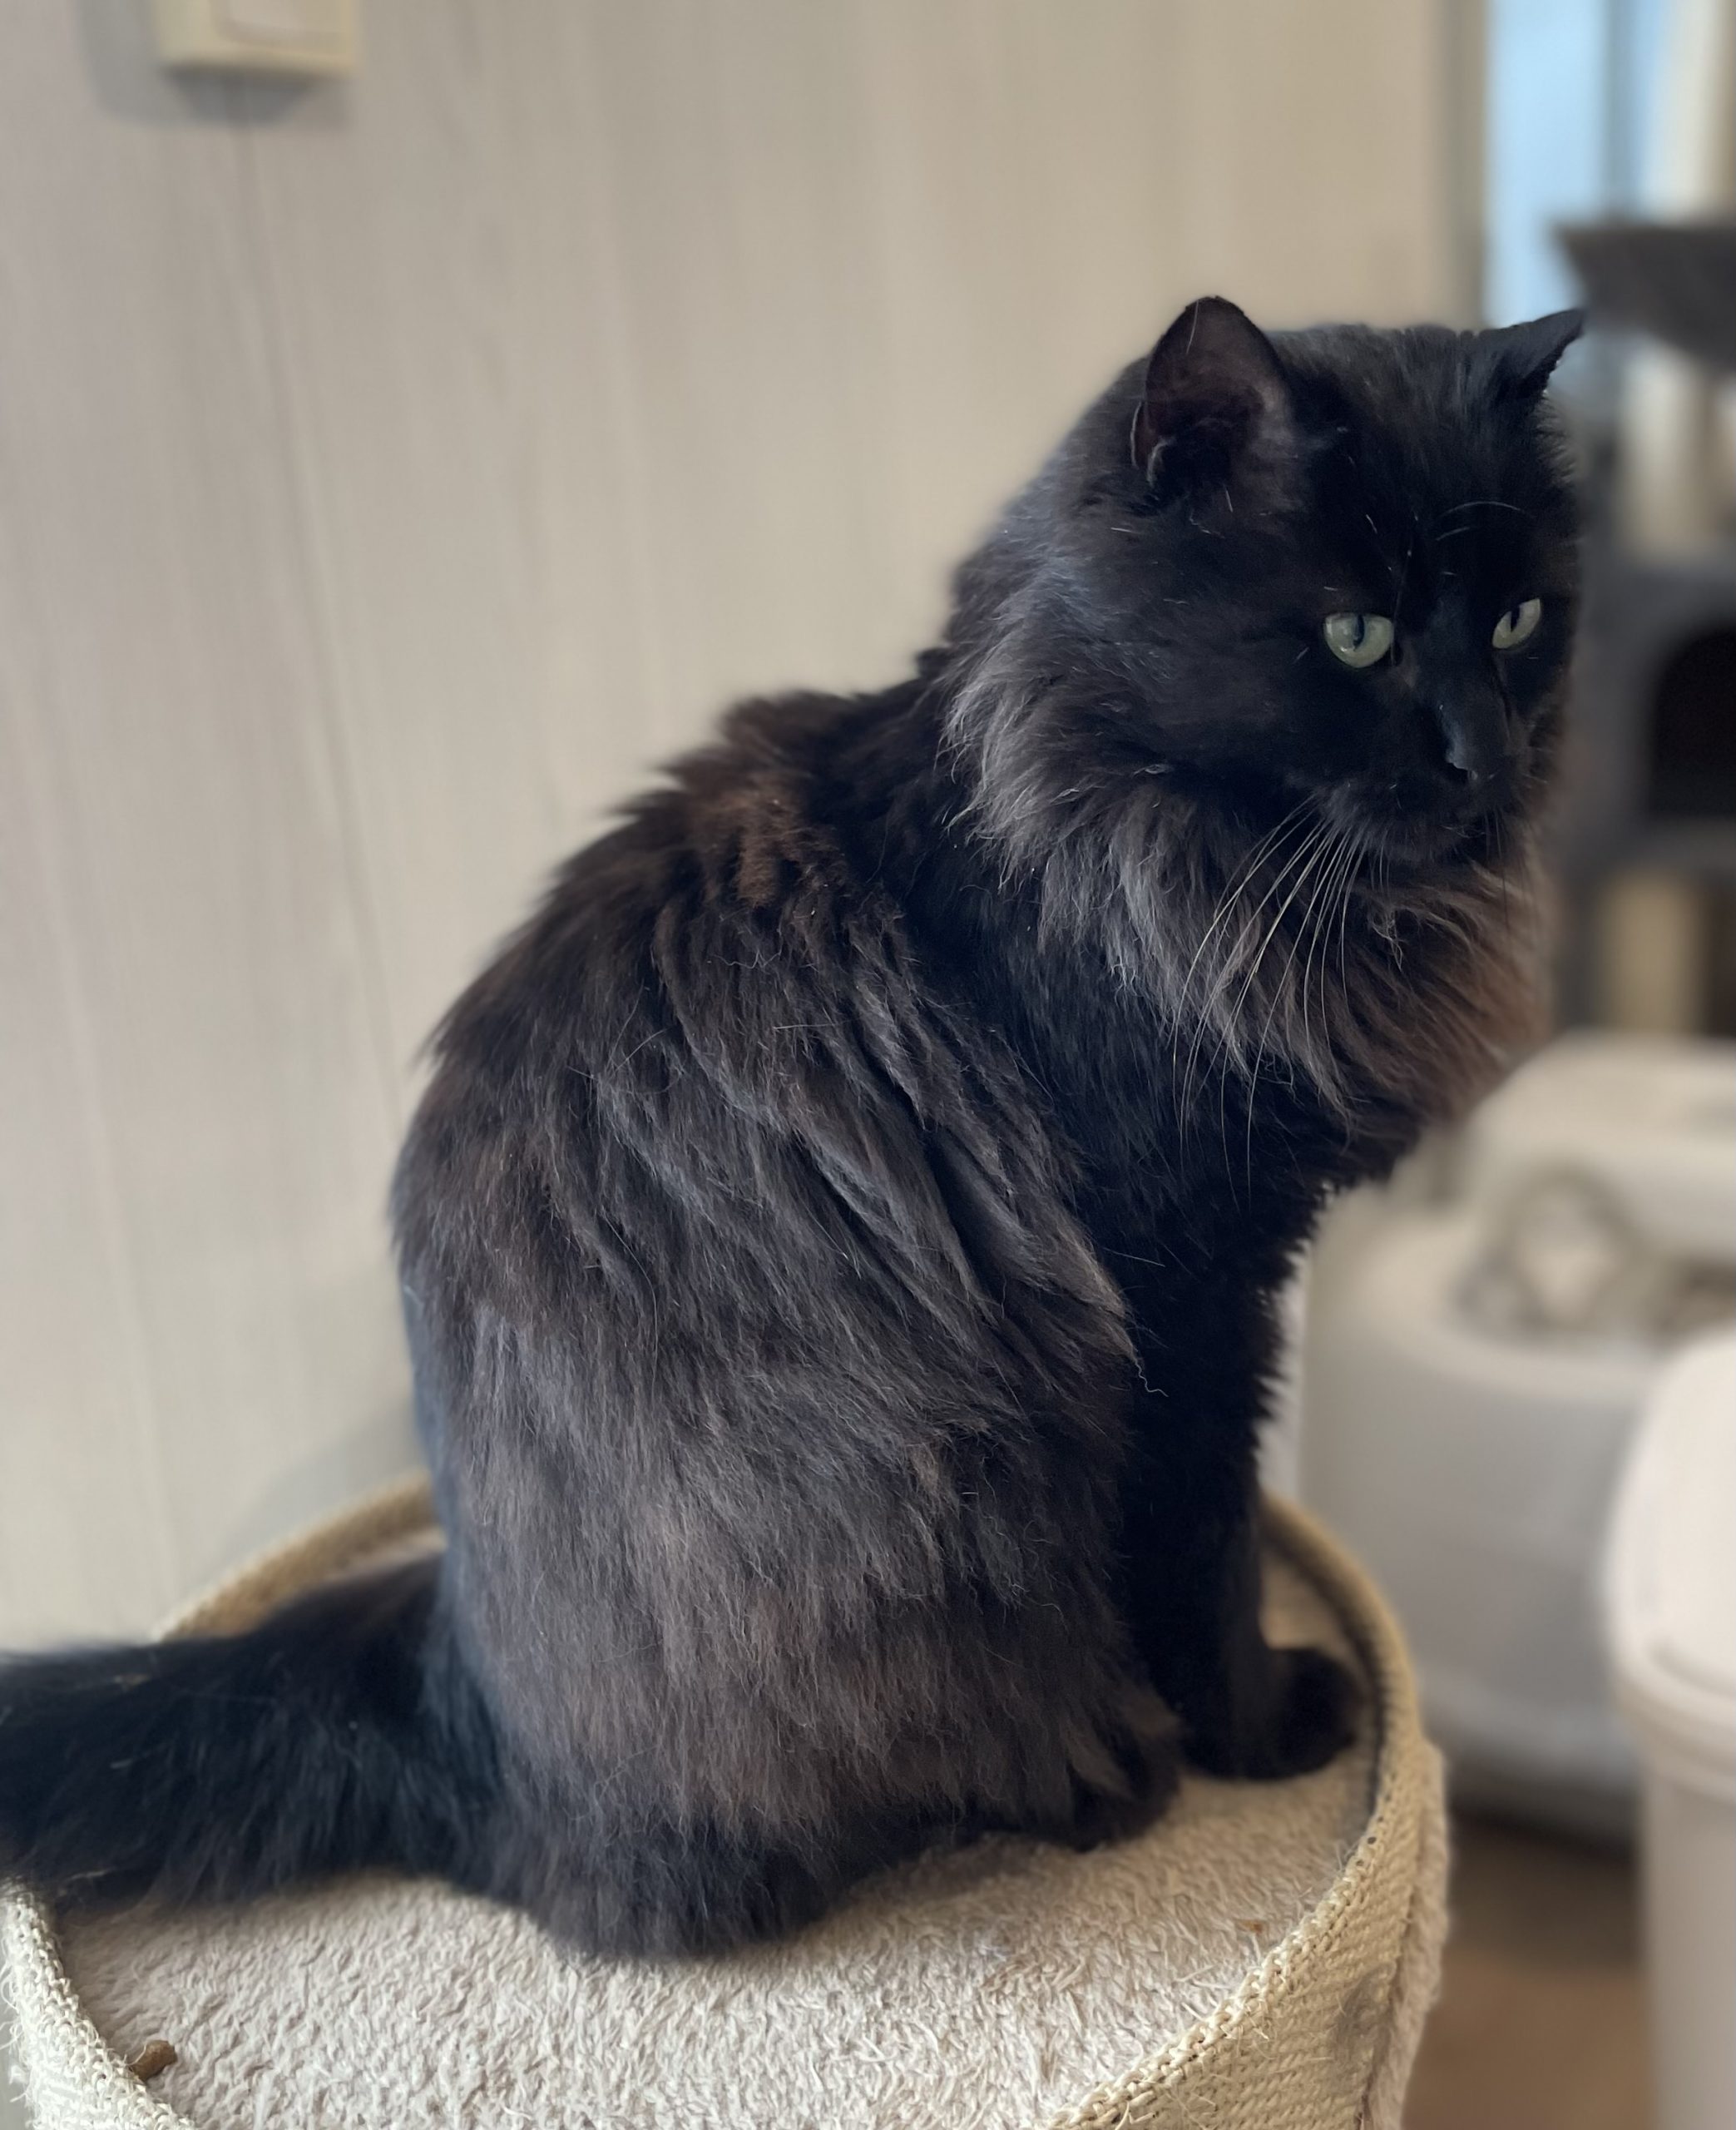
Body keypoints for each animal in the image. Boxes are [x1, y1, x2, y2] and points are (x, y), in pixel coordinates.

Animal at [0, 296, 1581, 1957]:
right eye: (1357, 634)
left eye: (1520, 622)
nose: (1488, 759)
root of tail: (459, 1697)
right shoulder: (1183, 1297)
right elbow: (1205, 1552)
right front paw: (1265, 1728)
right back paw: (1107, 1776)